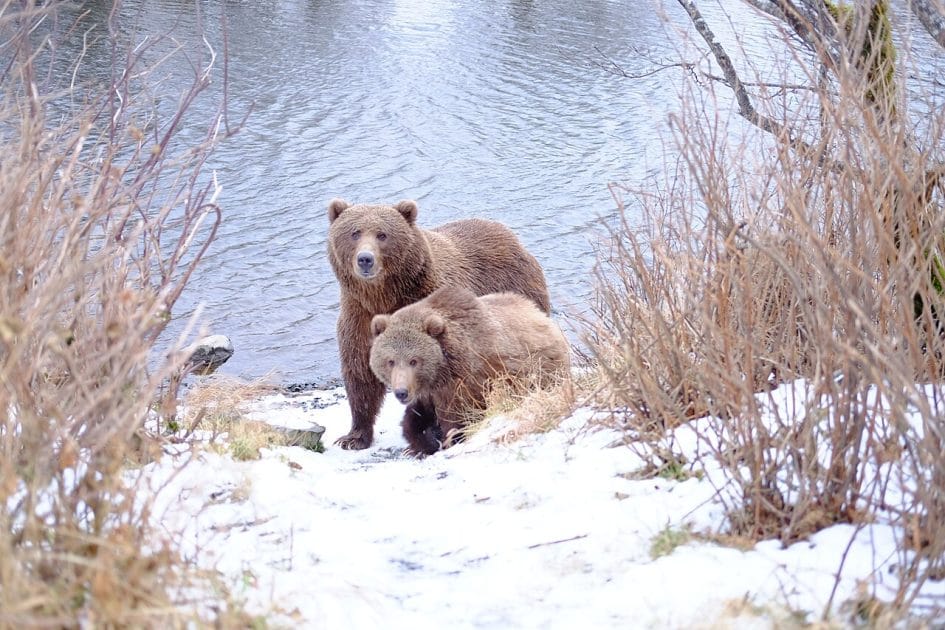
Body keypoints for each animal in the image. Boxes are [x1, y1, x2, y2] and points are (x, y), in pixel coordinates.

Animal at [327, 198, 551, 450]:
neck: (383, 296)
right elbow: (360, 374)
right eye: (355, 233)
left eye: (382, 234)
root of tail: (507, 232)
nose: (365, 259)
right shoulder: (358, 317)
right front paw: (353, 437)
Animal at [369, 285, 571, 456]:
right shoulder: (428, 393)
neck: (442, 371)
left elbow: (458, 420)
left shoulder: (467, 382)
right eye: (390, 361)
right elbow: (415, 419)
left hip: (542, 369)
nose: (401, 392)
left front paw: (443, 440)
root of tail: (541, 314)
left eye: (414, 360)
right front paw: (420, 441)